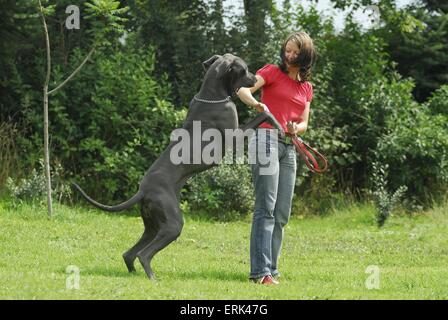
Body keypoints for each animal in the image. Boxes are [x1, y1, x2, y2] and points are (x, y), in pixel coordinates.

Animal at [73, 53, 284, 278]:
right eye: (244, 70)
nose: (256, 79)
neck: (212, 95)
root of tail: (142, 191)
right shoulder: (234, 137)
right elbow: (264, 114)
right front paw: (280, 127)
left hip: (153, 225)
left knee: (129, 254)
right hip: (173, 224)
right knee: (143, 254)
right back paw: (153, 278)